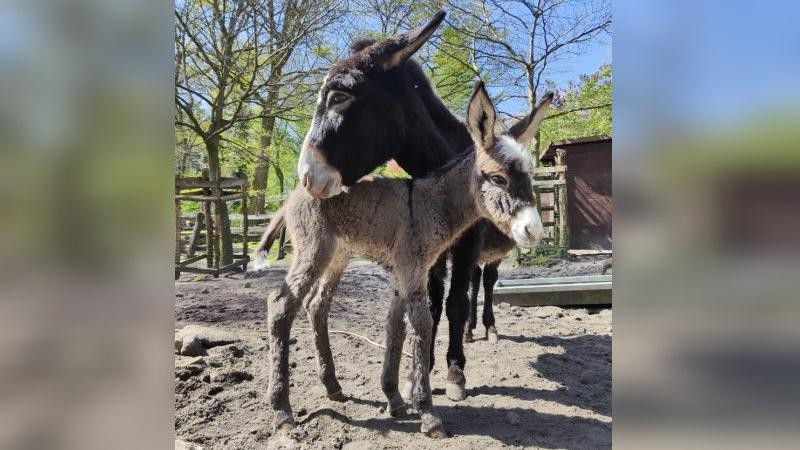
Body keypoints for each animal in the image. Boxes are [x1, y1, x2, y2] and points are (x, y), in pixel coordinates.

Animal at [266, 82, 548, 438]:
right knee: (281, 304)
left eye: (530, 176)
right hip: (313, 249)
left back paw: (332, 386)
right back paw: (282, 410)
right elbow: (422, 323)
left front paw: (395, 398)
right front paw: (427, 411)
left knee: (317, 304)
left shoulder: (405, 272)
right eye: (498, 178)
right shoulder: (414, 268)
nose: (533, 230)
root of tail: (292, 195)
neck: (429, 204)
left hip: (337, 254)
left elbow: (396, 327)